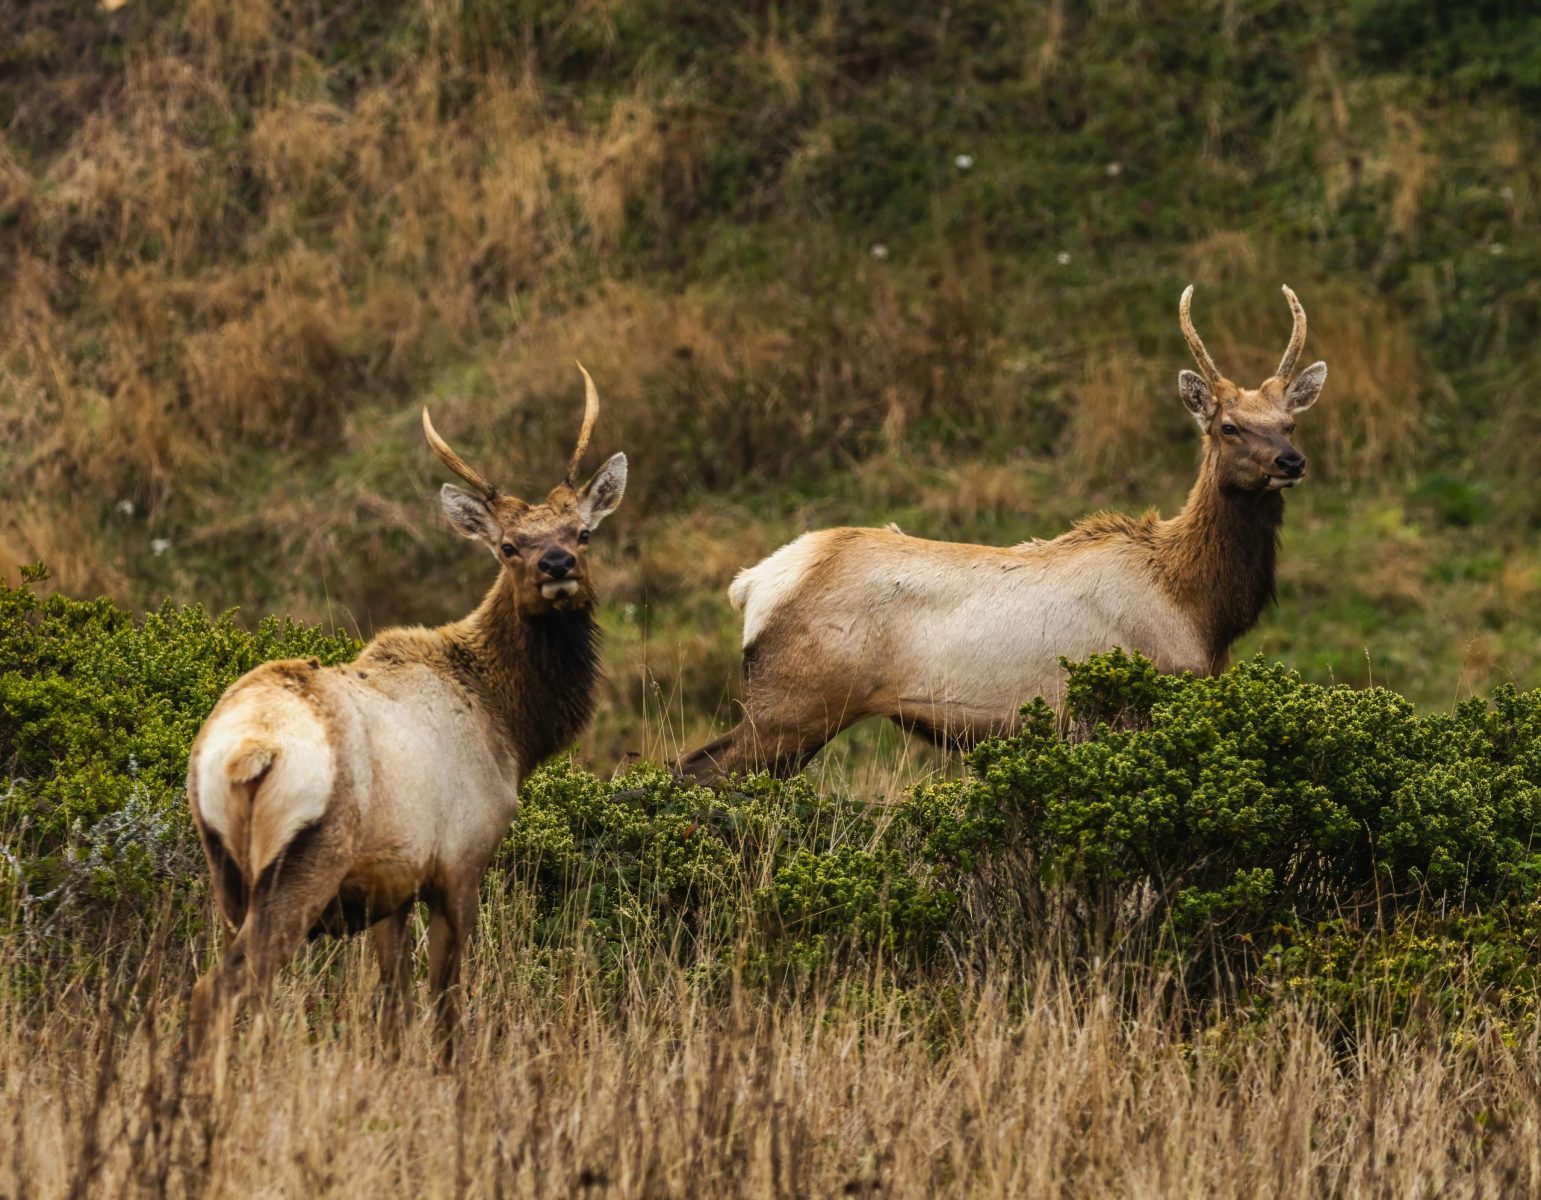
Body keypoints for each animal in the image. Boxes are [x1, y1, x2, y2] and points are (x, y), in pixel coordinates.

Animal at [186, 366, 627, 1060]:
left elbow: (390, 1006)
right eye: (508, 546)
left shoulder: (387, 885)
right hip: (301, 863)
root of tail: (243, 753)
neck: (512, 729)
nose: (556, 565)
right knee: (222, 989)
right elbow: (445, 1006)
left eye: (582, 532)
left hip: (224, 871)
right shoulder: (460, 861)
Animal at [678, 286, 1327, 782]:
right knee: (693, 772)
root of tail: (753, 585)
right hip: (794, 702)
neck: (1198, 607)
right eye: (1228, 426)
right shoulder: (1130, 705)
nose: (1291, 462)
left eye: (1290, 423)